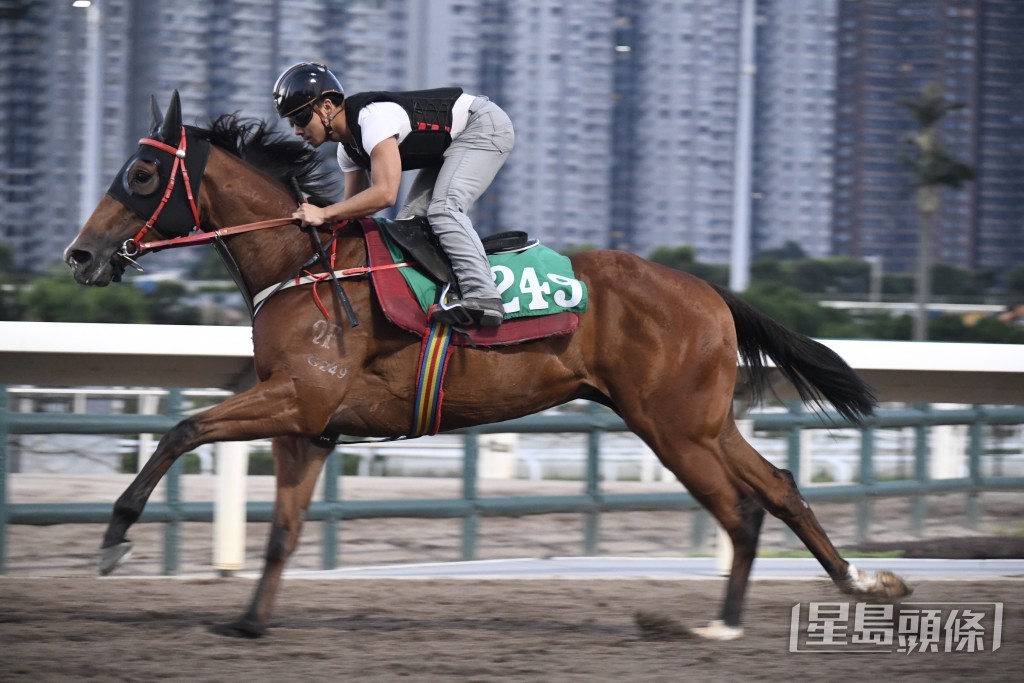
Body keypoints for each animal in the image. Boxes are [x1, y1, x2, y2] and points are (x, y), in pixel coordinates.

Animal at [64, 93, 909, 643]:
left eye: (141, 177)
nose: (80, 254)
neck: (302, 263)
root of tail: (709, 291)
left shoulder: (297, 396)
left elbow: (182, 428)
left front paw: (114, 538)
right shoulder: (308, 424)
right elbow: (281, 530)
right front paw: (247, 621)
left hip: (672, 427)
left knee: (739, 509)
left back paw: (719, 627)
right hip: (702, 420)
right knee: (780, 488)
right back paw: (861, 582)